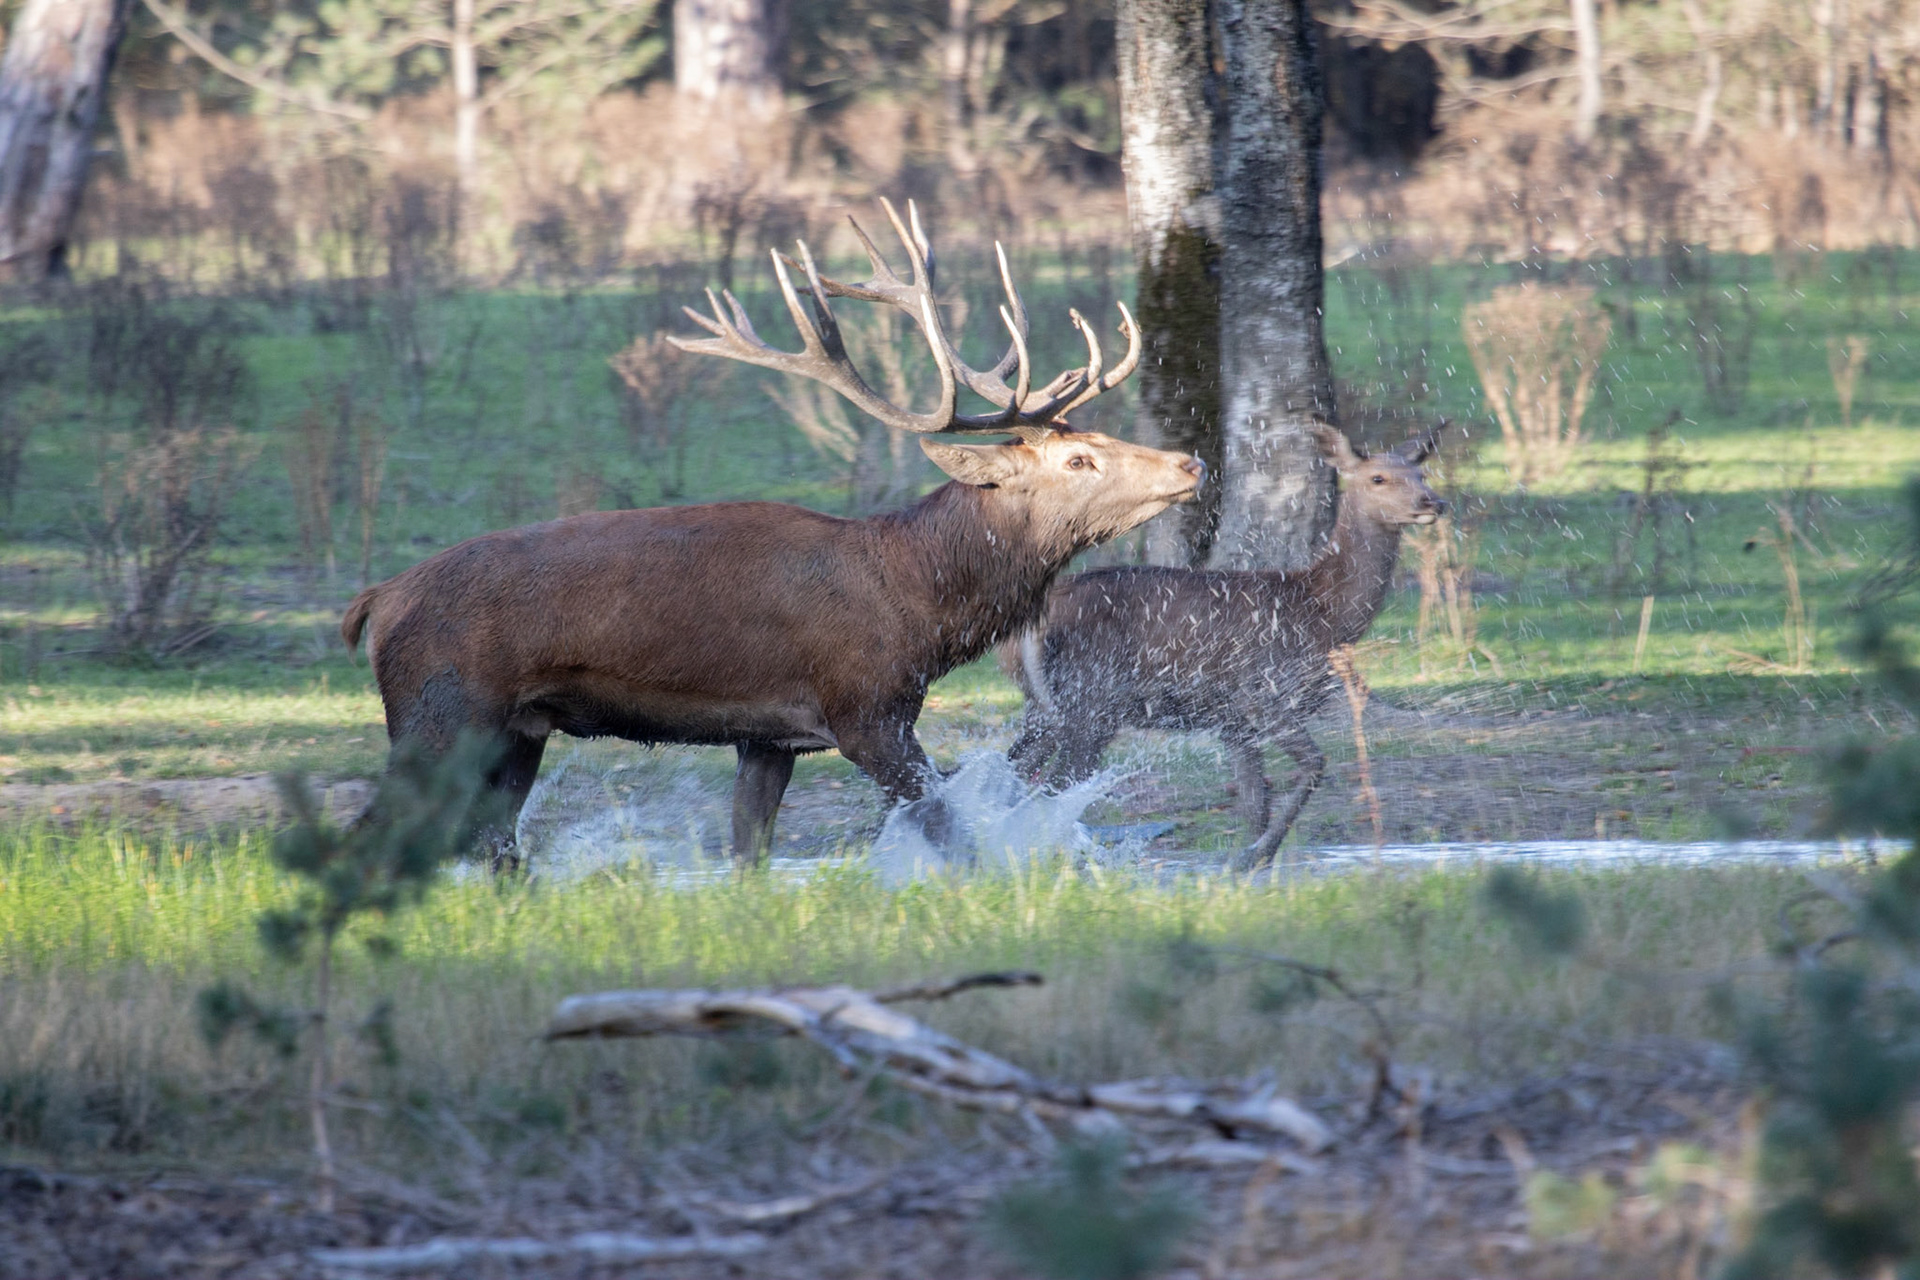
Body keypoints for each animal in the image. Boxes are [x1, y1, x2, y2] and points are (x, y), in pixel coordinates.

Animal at [341, 200, 1205, 867]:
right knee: (381, 831)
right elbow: (950, 830)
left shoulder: (771, 739)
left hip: (516, 731)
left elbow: (748, 851)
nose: (1190, 461)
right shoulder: (865, 713)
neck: (917, 606)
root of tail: (376, 601)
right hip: (437, 713)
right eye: (1080, 458)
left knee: (494, 843)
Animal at [1004, 424, 1444, 870]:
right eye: (1378, 478)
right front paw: (1256, 854)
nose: (1432, 501)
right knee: (1054, 786)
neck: (1321, 616)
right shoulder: (1260, 694)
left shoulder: (1233, 724)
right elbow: (1313, 765)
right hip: (1091, 703)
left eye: (1421, 473)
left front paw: (1247, 863)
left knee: (1014, 770)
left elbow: (1254, 804)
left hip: (1045, 709)